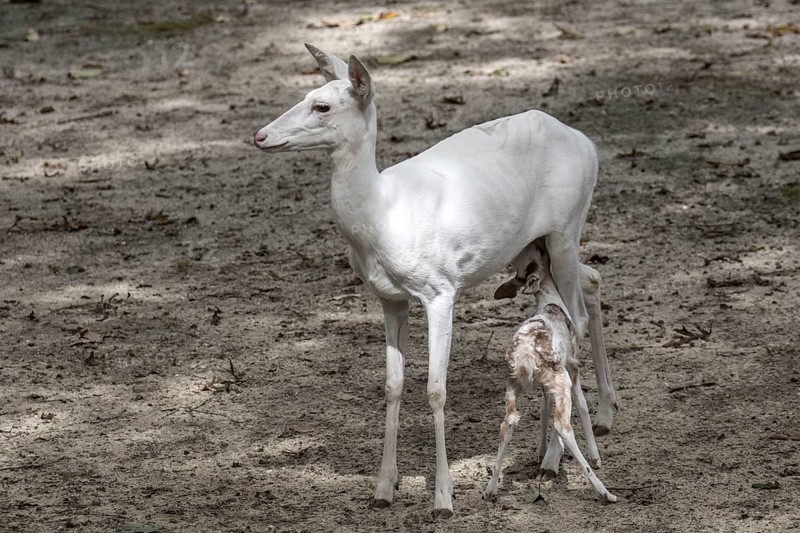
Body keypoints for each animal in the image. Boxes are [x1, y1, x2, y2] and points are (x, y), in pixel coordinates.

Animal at [484, 240, 617, 503]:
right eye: (539, 253)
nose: (538, 242)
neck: (550, 301)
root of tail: (525, 357)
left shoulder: (546, 386)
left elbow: (544, 407)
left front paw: (541, 453)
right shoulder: (573, 366)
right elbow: (582, 405)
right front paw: (595, 456)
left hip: (513, 386)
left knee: (508, 423)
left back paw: (490, 489)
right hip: (561, 379)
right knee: (563, 426)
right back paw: (604, 491)